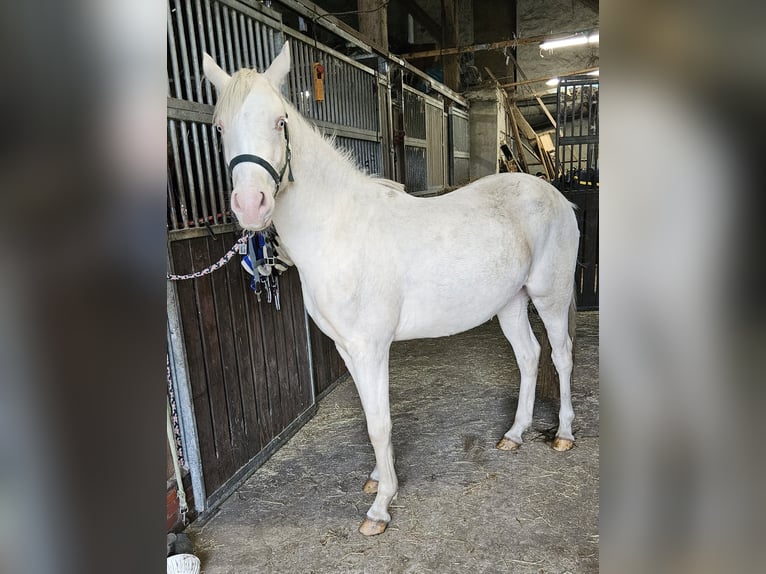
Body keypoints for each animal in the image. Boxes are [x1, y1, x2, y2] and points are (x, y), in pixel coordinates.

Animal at [204, 42, 584, 536]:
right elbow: (371, 416)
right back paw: (514, 435)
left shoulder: (371, 348)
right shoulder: (348, 348)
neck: (339, 227)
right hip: (511, 302)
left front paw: (381, 506)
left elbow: (379, 424)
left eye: (280, 121)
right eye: (219, 126)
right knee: (529, 356)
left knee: (561, 356)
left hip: (549, 297)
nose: (252, 205)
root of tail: (559, 198)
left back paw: (563, 435)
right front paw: (376, 478)